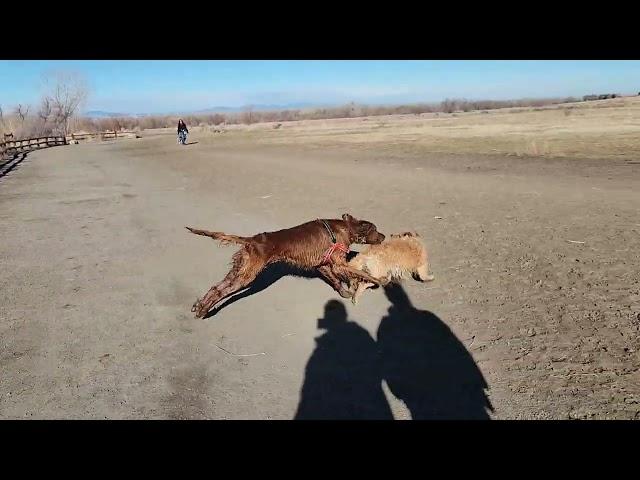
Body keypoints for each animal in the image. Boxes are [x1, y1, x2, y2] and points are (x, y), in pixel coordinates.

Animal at [185, 214, 384, 318]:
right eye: (375, 230)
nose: (383, 236)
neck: (346, 227)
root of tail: (252, 240)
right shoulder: (338, 263)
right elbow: (361, 273)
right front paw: (379, 281)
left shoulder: (322, 265)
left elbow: (336, 280)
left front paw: (344, 292)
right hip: (247, 275)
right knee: (221, 291)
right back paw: (203, 310)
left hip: (240, 270)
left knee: (217, 287)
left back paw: (200, 306)